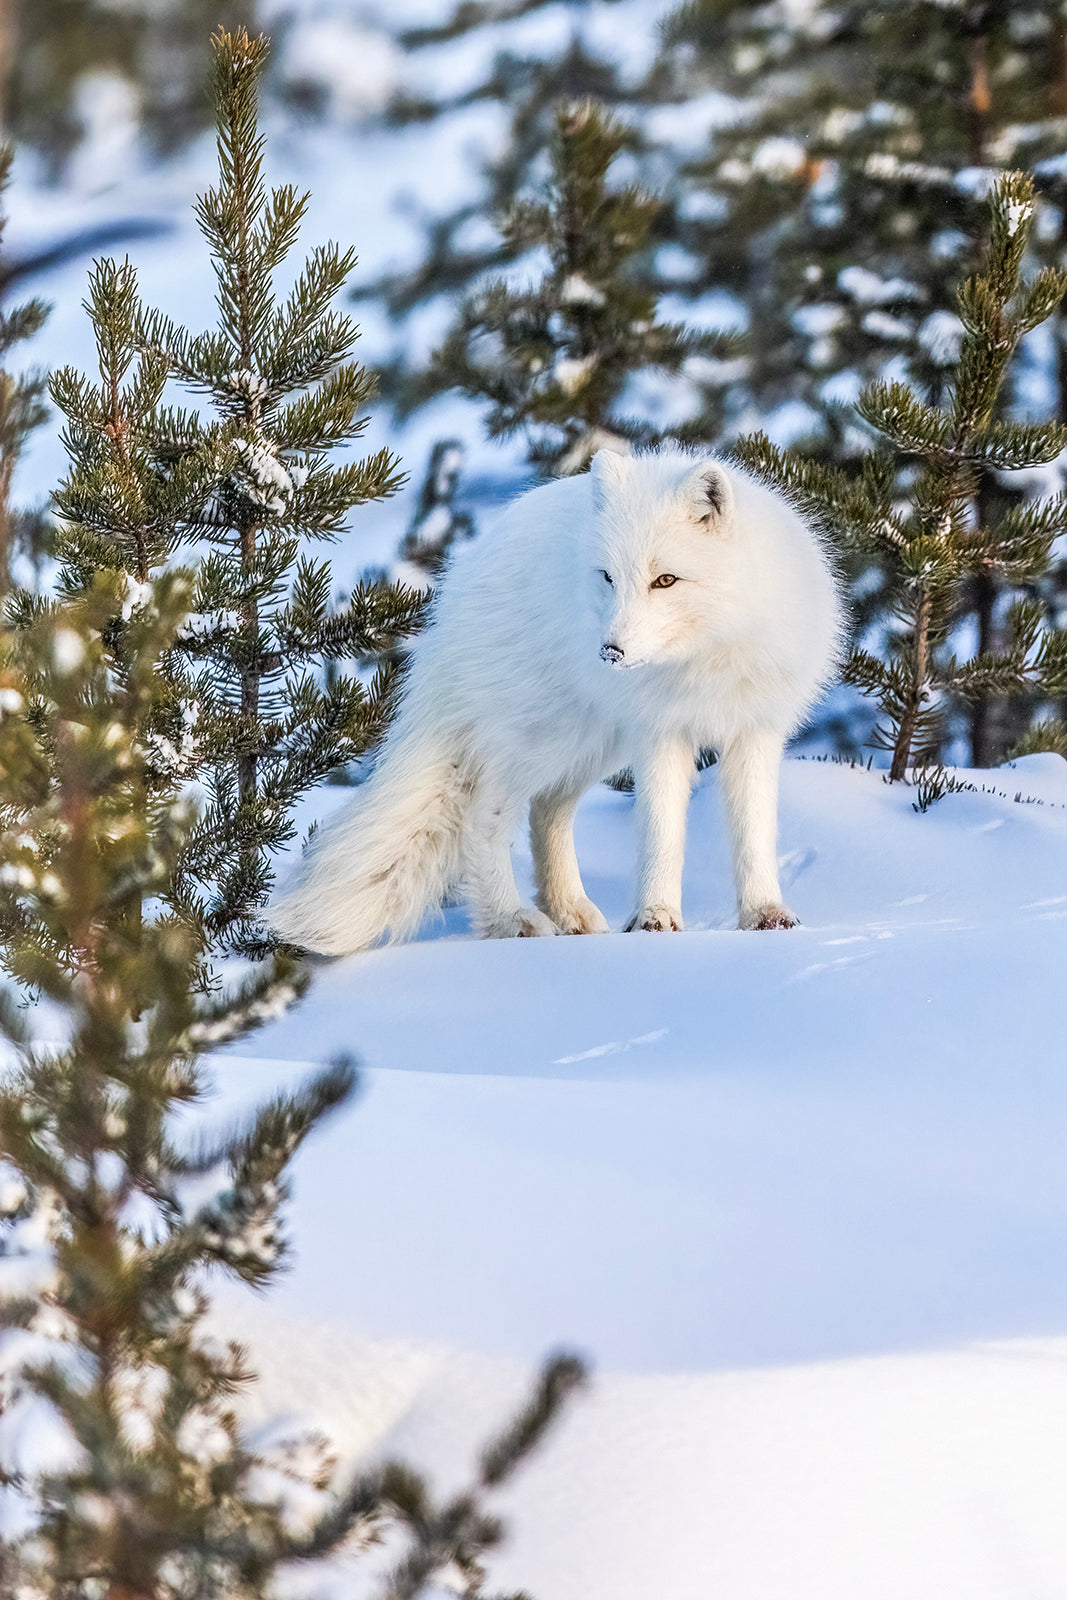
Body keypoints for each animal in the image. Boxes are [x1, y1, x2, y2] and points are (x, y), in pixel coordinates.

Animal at [267, 447, 843, 956]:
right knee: (485, 817)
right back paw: (512, 920)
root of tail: (455, 595)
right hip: (547, 738)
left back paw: (569, 912)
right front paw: (656, 922)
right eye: (608, 577)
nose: (610, 651)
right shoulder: (659, 733)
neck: (704, 660)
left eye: (666, 580)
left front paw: (765, 917)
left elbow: (755, 834)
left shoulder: (756, 730)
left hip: (592, 745)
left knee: (547, 813)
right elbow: (661, 834)